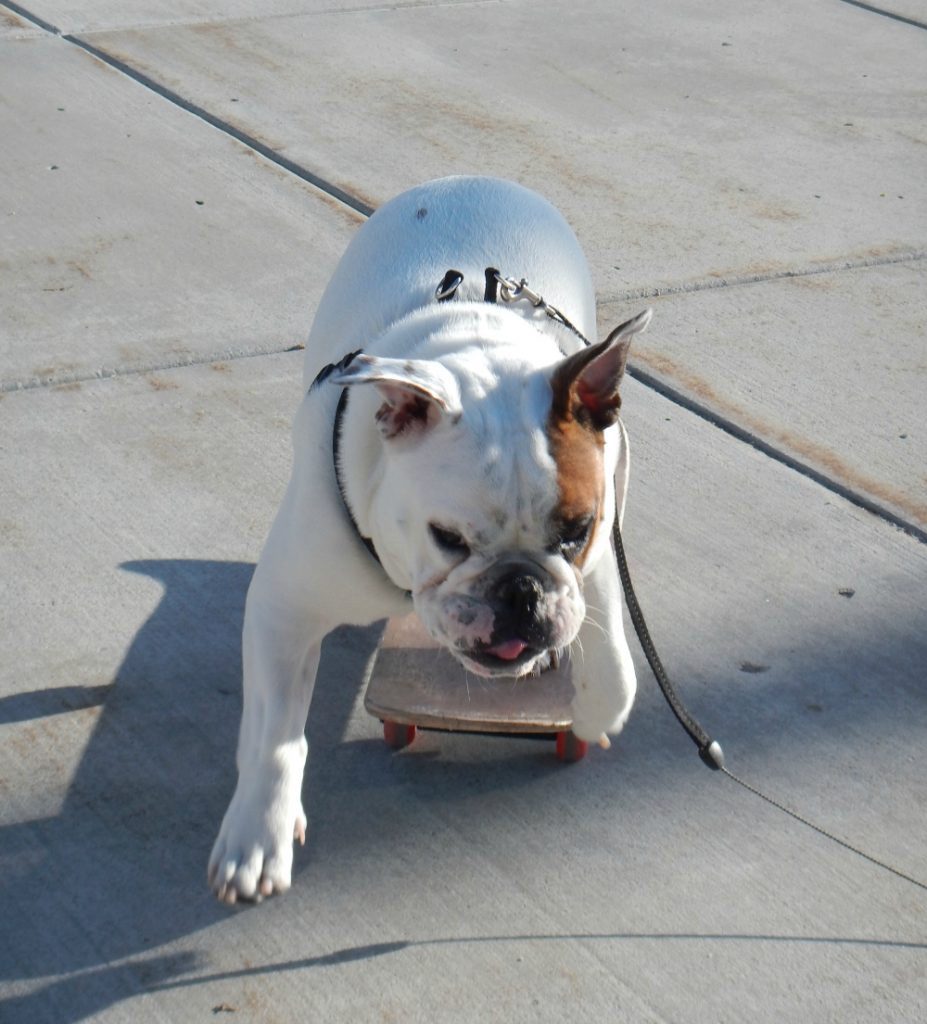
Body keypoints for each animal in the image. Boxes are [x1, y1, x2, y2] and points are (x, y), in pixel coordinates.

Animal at [207, 178, 651, 905]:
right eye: (447, 538)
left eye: (574, 532)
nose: (519, 590)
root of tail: (473, 178)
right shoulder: (284, 608)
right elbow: (275, 734)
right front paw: (256, 834)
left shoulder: (602, 536)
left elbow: (613, 654)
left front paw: (592, 713)